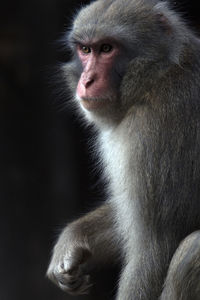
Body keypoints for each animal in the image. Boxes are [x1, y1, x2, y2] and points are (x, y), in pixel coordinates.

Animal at [47, 0, 200, 298]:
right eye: (86, 50)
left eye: (107, 48)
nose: (87, 80)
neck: (157, 77)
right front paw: (73, 240)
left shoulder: (152, 133)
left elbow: (154, 246)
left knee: (191, 250)